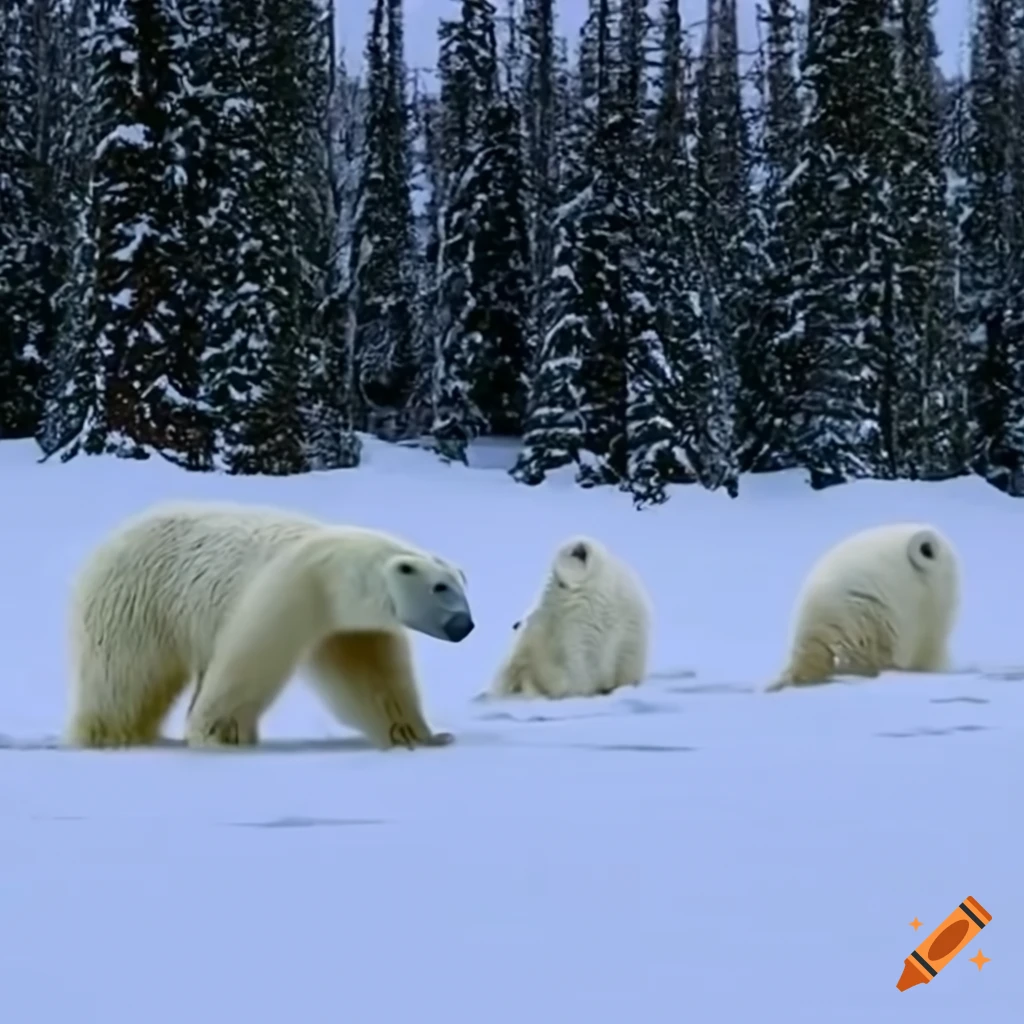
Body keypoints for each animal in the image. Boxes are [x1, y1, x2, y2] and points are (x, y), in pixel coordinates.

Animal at [64, 501, 474, 750]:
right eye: (440, 587)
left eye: (462, 585)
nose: (464, 626)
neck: (337, 568)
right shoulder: (296, 587)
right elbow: (249, 659)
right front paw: (219, 734)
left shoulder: (350, 625)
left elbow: (372, 677)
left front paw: (417, 734)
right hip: (137, 601)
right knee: (127, 675)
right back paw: (107, 735)